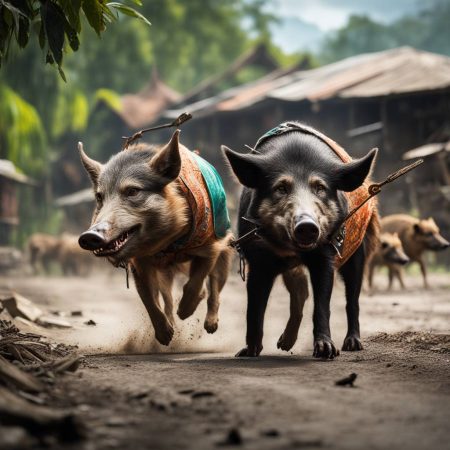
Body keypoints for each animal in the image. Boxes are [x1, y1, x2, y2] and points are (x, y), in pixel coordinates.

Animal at [78, 132, 232, 346]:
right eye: (99, 196)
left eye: (133, 191)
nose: (89, 236)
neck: (169, 242)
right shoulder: (140, 263)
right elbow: (149, 299)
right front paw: (165, 336)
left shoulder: (210, 248)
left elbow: (196, 283)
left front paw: (185, 311)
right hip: (164, 272)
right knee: (166, 298)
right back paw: (172, 324)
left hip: (225, 252)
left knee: (214, 288)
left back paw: (210, 325)